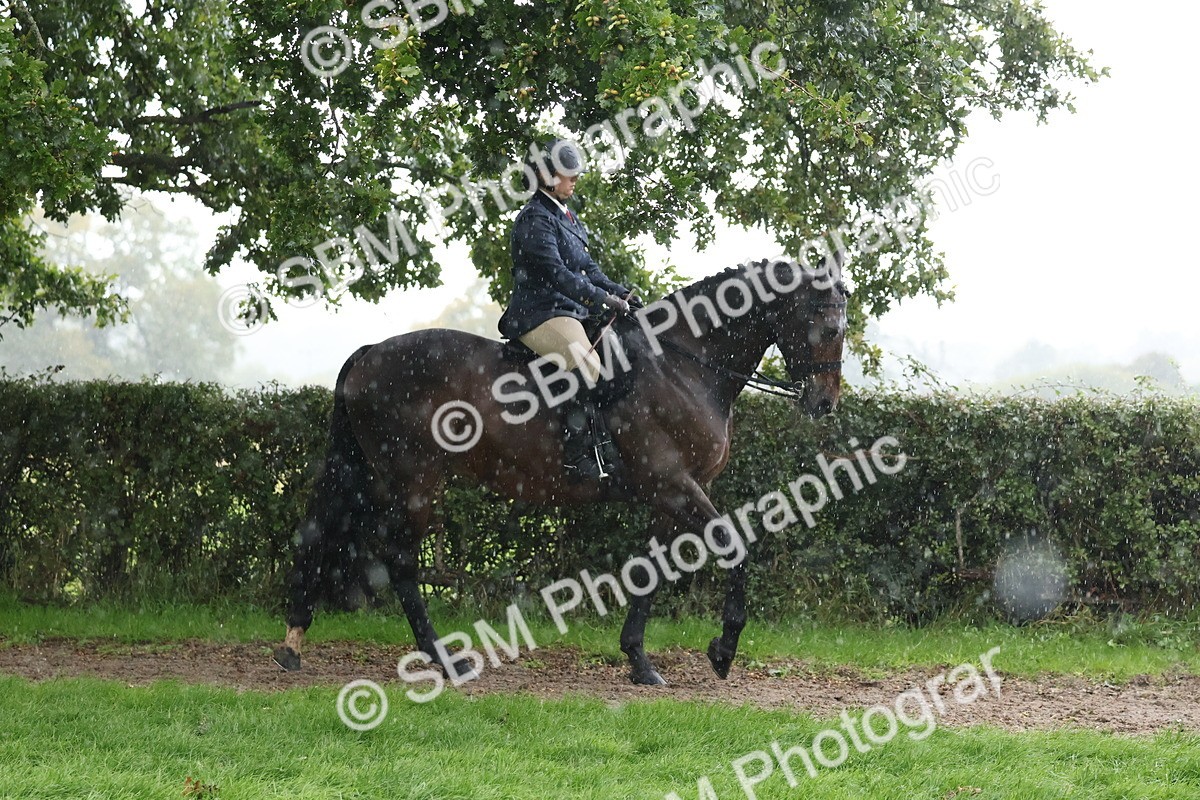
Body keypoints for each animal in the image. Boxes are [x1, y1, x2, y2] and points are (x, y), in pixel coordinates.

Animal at [274, 255, 848, 685]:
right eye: (825, 326)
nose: (823, 403)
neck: (683, 365)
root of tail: (371, 353)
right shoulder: (674, 486)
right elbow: (735, 547)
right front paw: (723, 651)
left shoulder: (671, 495)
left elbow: (650, 570)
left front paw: (639, 662)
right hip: (413, 479)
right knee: (399, 561)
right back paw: (444, 660)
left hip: (373, 476)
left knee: (330, 533)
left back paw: (294, 642)